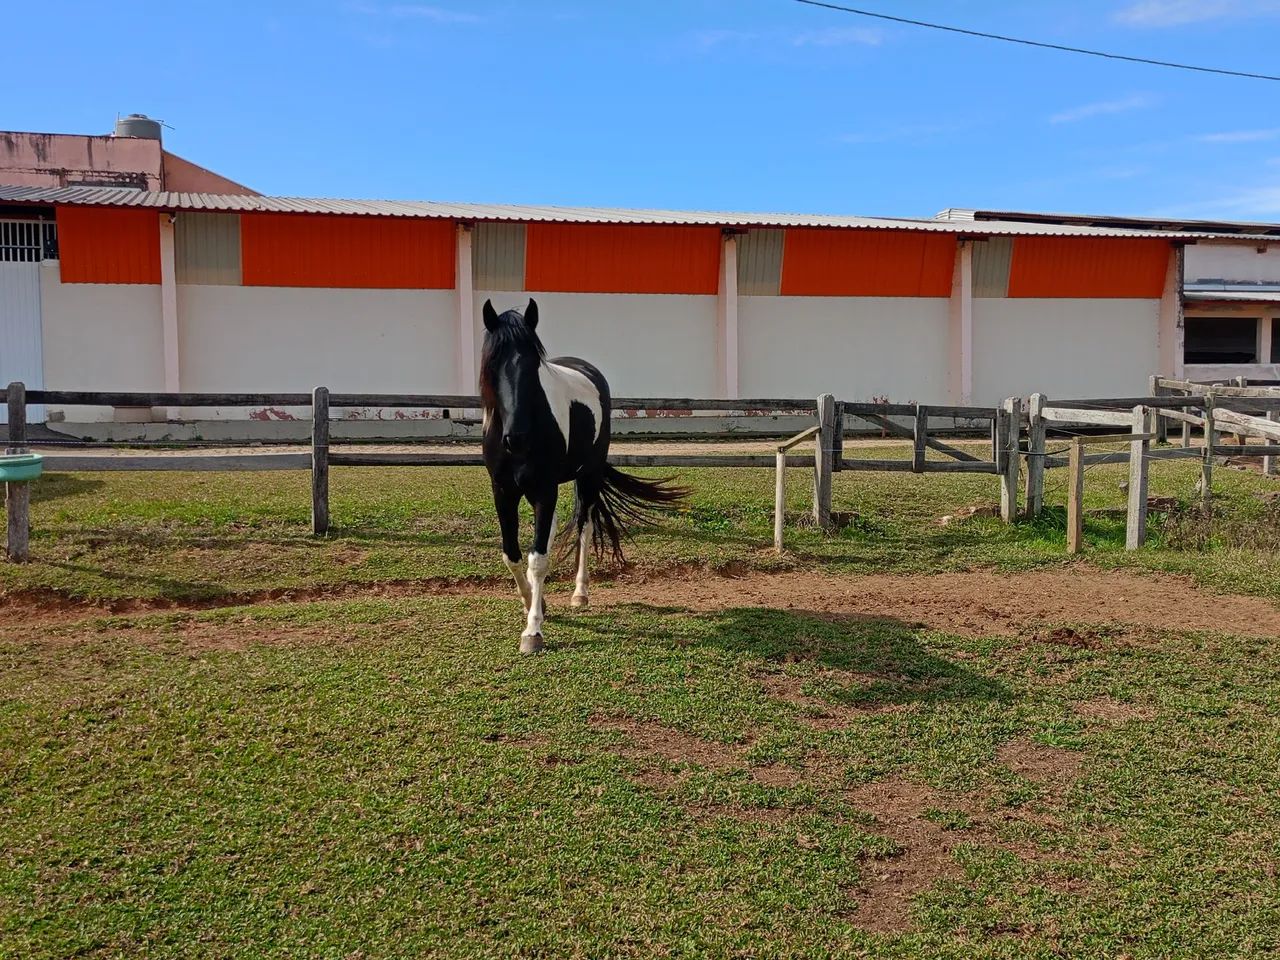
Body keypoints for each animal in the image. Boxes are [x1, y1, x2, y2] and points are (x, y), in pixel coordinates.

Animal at [480, 298, 687, 654]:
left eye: (533, 364)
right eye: (493, 364)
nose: (516, 437)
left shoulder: (544, 488)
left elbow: (538, 558)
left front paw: (533, 631)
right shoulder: (503, 491)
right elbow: (514, 555)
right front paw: (533, 604)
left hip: (587, 477)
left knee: (585, 528)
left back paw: (580, 593)